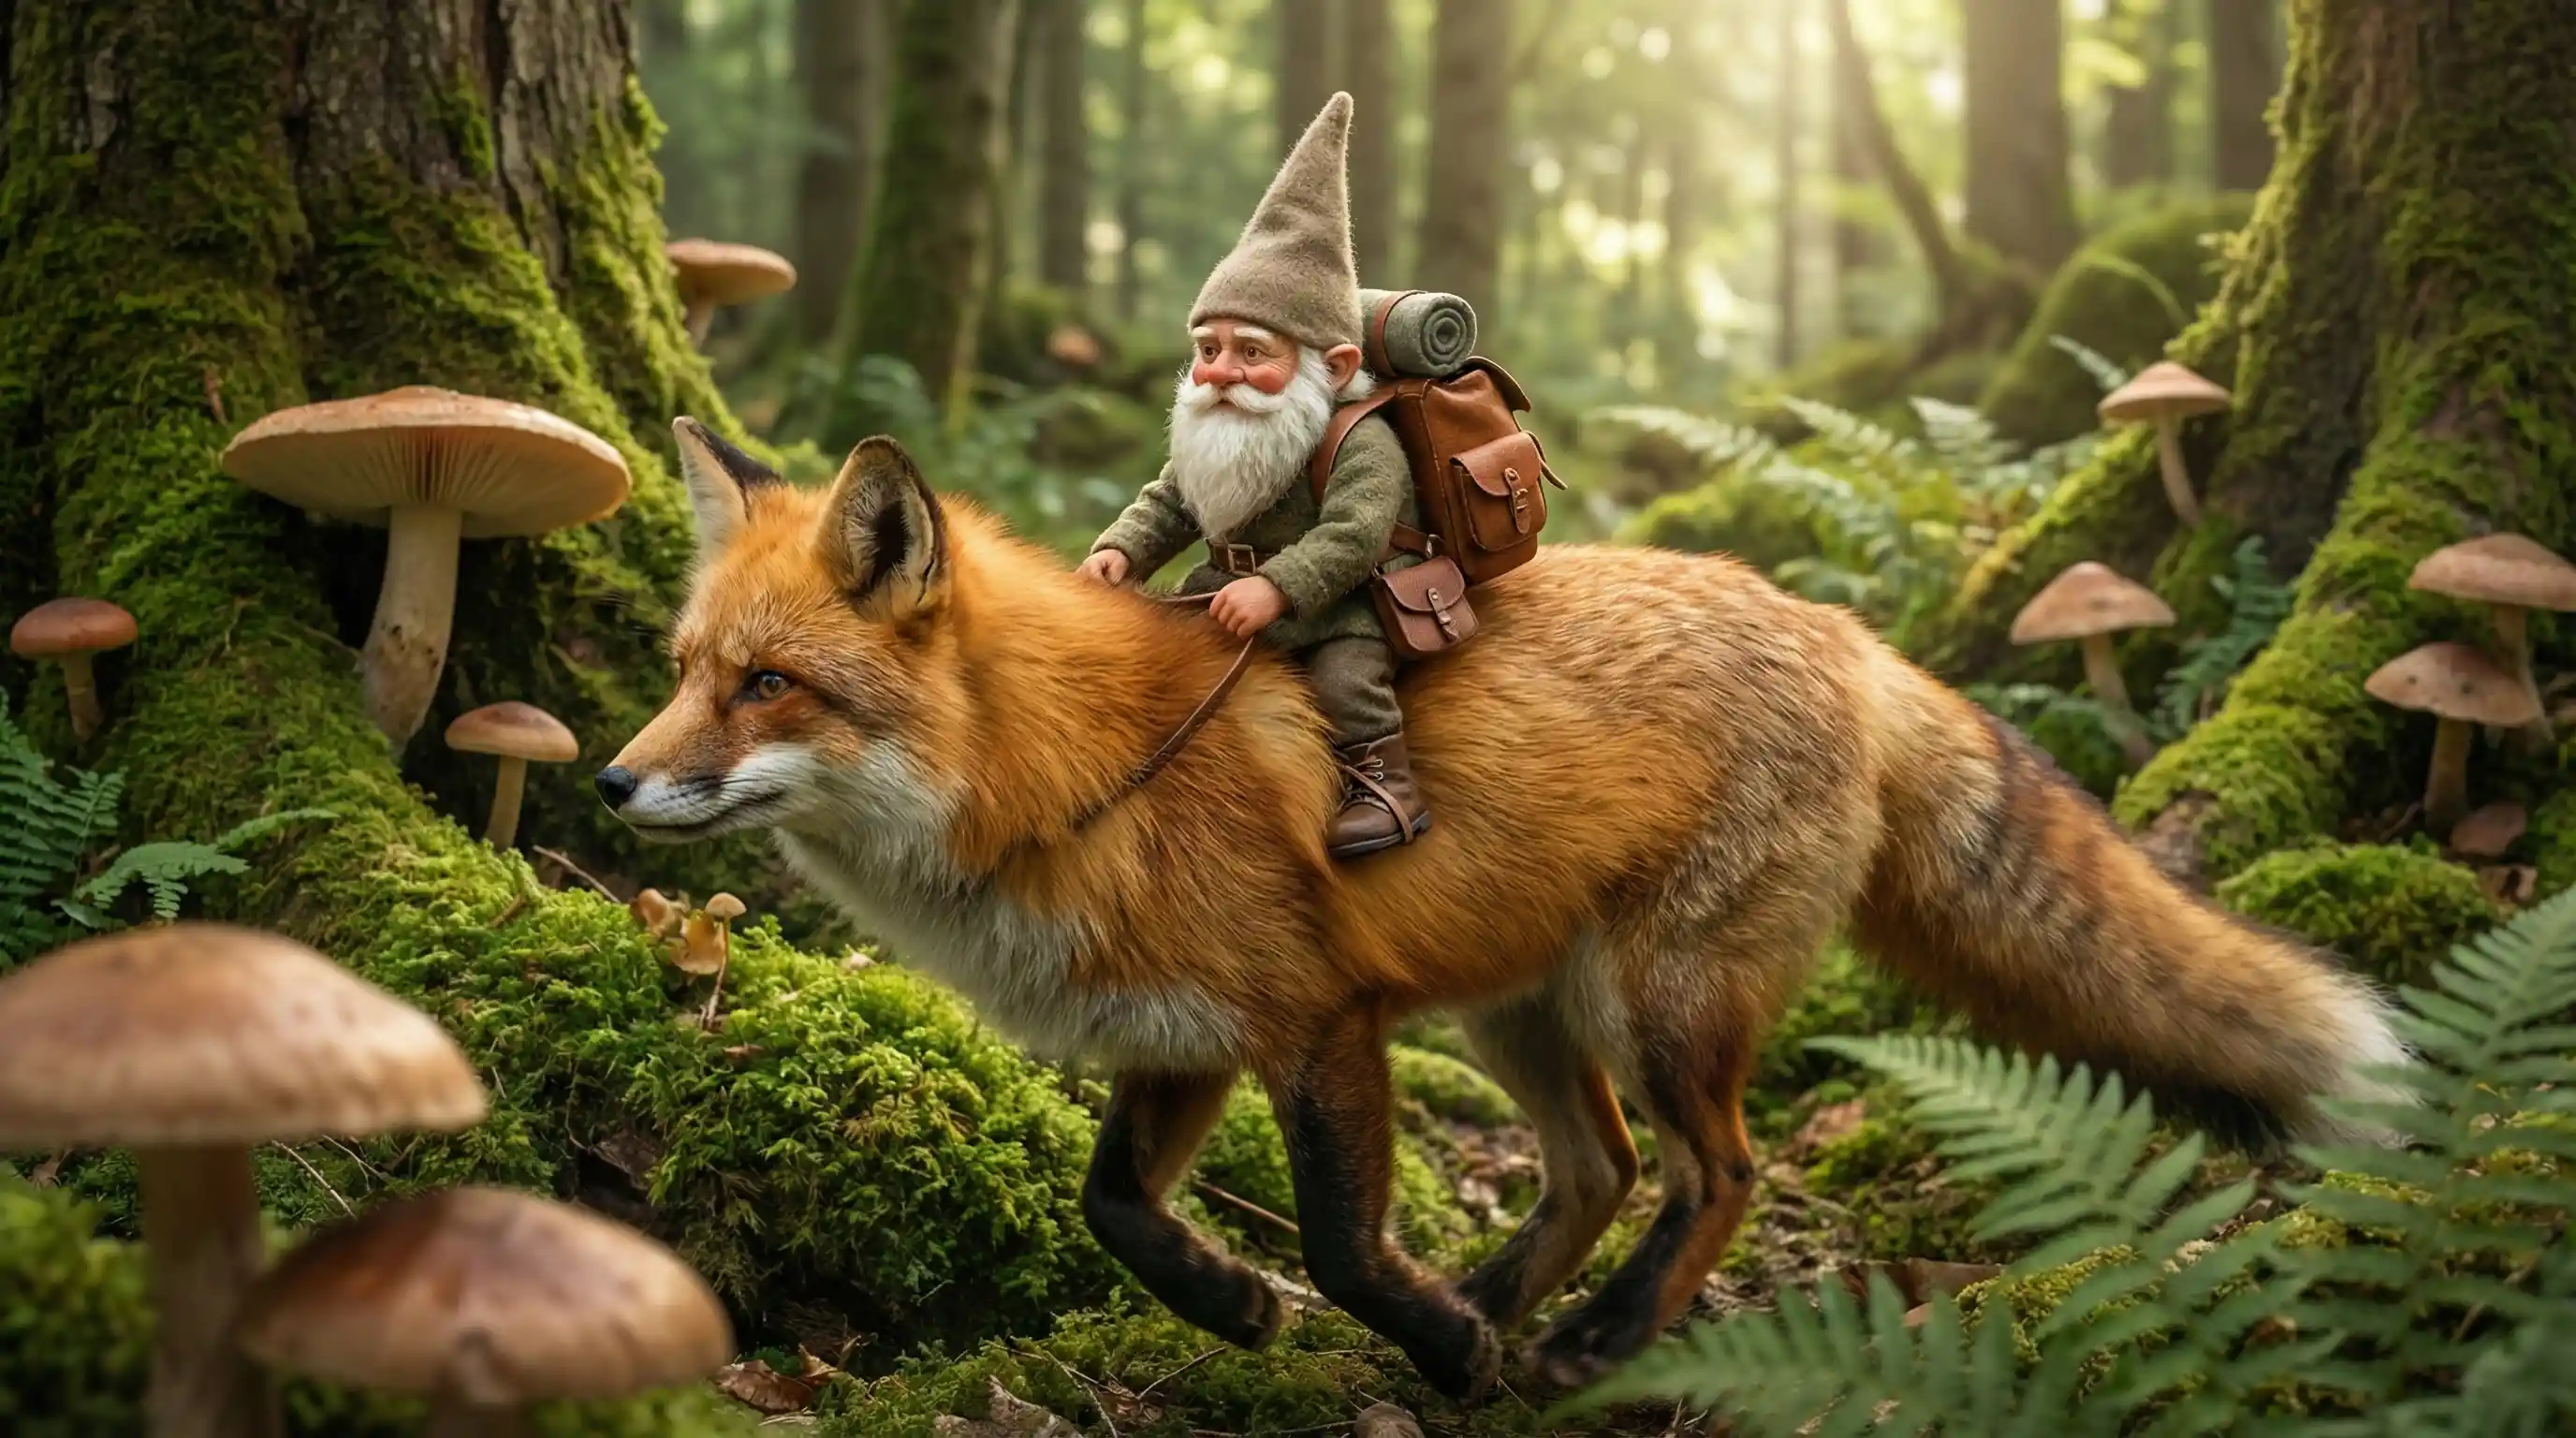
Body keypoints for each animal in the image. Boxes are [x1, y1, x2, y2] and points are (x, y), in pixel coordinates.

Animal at [600, 418, 2407, 1400]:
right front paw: (1247, 1304)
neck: (1071, 772)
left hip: (1661, 1004)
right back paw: (1493, 1304)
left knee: (1715, 1172)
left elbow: (1339, 1233)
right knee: (1598, 1164)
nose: (613, 787)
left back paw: (1580, 1340)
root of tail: (1841, 629)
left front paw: (1396, 1327)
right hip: (1517, 1011)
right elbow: (1115, 1210)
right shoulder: (1182, 1037)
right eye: (683, 672)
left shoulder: (1315, 1020)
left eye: (768, 687)